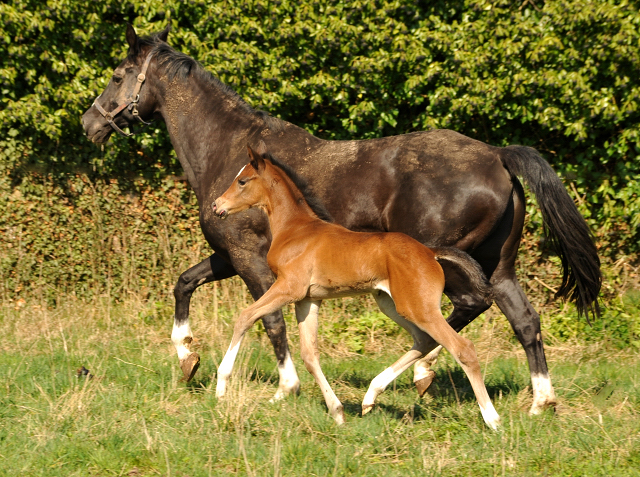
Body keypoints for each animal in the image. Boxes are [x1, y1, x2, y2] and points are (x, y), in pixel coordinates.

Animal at [211, 145, 500, 428]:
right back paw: (370, 396)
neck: (296, 230)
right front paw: (337, 412)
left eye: (242, 180)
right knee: (423, 339)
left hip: (419, 307)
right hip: (390, 303)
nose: (216, 205)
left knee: (462, 348)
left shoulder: (288, 288)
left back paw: (492, 419)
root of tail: (430, 253)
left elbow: (245, 317)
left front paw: (221, 386)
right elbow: (309, 355)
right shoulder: (307, 299)